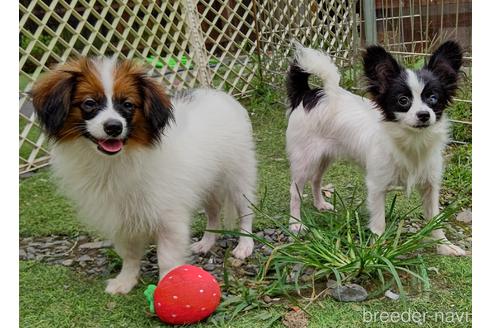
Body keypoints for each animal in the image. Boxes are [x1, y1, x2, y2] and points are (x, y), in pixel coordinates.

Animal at [31, 57, 258, 294]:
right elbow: (129, 255)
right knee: (213, 213)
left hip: (238, 178)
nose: (114, 127)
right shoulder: (121, 219)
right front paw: (125, 281)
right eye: (89, 103)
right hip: (208, 186)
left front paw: (168, 285)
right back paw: (206, 242)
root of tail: (218, 95)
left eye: (128, 105)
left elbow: (167, 259)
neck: (115, 161)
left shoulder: (169, 218)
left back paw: (245, 245)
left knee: (245, 211)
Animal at [284, 41, 466, 256]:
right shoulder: (377, 187)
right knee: (295, 191)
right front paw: (377, 250)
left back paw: (319, 204)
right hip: (304, 160)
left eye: (433, 98)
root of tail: (309, 94)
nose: (424, 115)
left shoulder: (430, 186)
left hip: (324, 156)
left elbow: (435, 220)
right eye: (403, 100)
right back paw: (295, 224)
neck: (412, 141)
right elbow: (379, 223)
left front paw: (444, 245)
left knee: (316, 179)